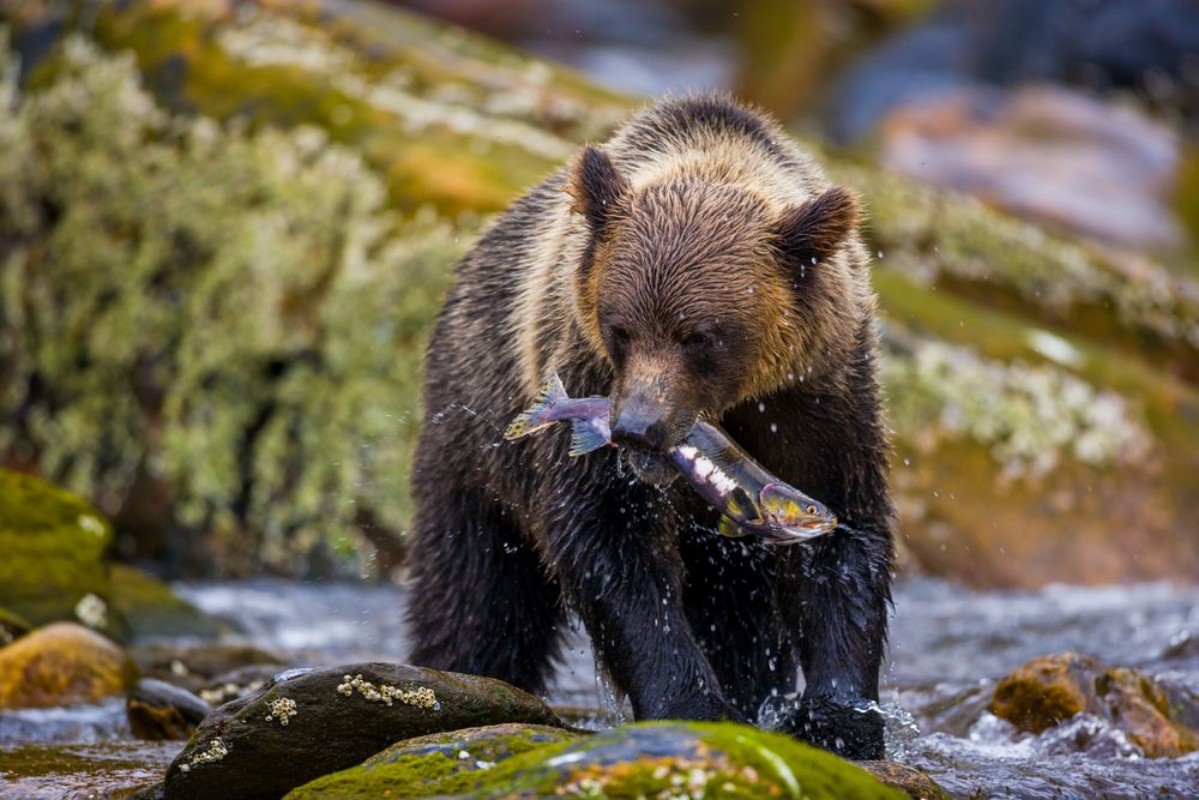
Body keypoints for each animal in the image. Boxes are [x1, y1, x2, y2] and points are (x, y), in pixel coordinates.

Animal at [406, 93, 894, 760]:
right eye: (621, 327)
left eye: (701, 336)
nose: (635, 429)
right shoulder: (582, 368)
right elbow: (612, 544)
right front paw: (693, 704)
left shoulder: (818, 400)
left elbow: (844, 539)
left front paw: (838, 720)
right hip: (473, 439)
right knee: (477, 595)